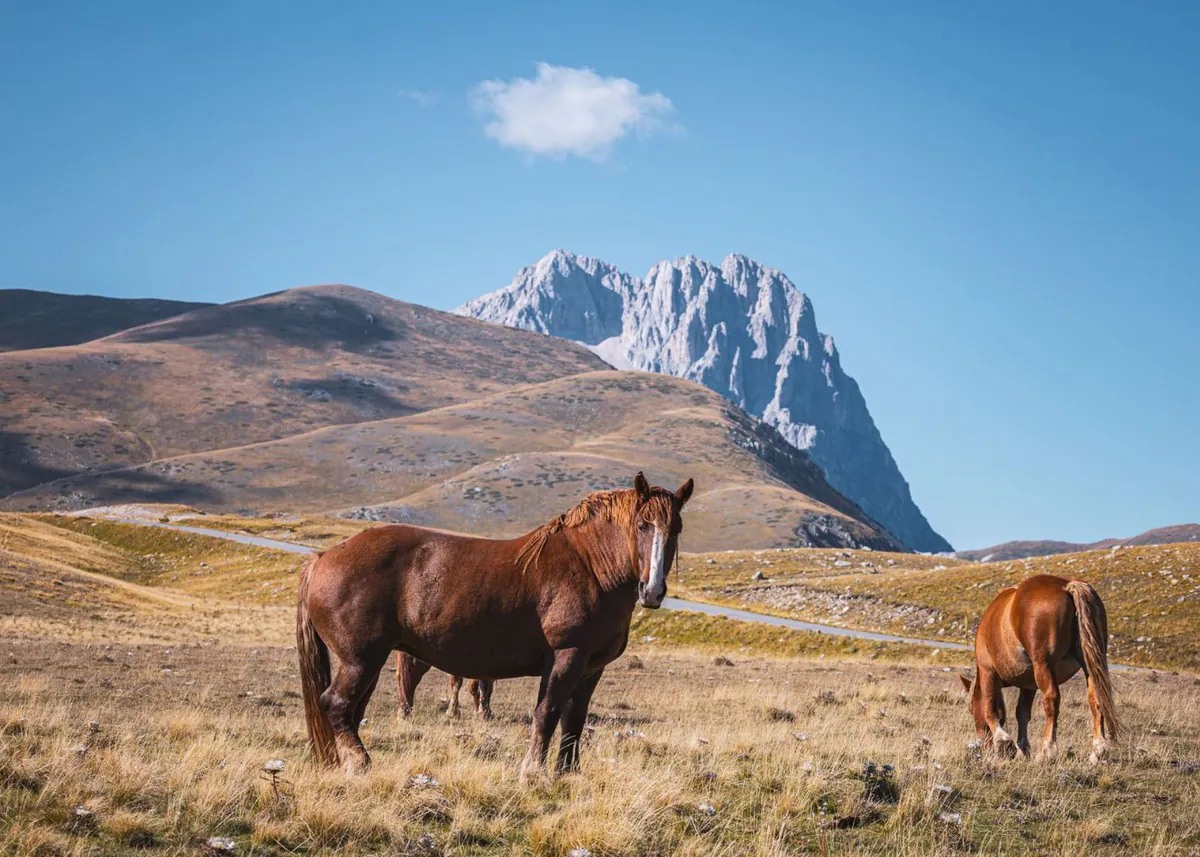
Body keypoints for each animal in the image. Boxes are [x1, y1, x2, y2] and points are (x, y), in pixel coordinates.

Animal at [296, 471, 694, 781]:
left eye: (676, 528)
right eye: (642, 525)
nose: (652, 591)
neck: (590, 567)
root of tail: (322, 559)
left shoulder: (590, 668)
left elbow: (574, 721)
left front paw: (567, 774)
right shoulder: (566, 657)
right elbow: (547, 713)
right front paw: (532, 773)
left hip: (369, 663)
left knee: (352, 710)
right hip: (360, 661)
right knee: (336, 704)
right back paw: (359, 764)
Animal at [960, 574, 1119, 763]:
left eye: (971, 708)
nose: (984, 745)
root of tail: (1066, 586)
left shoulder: (988, 672)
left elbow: (990, 708)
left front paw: (1003, 742)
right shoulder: (1028, 685)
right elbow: (1022, 713)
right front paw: (1023, 748)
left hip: (1043, 665)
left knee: (1051, 699)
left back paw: (1047, 750)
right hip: (1089, 665)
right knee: (1095, 697)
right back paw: (1098, 750)